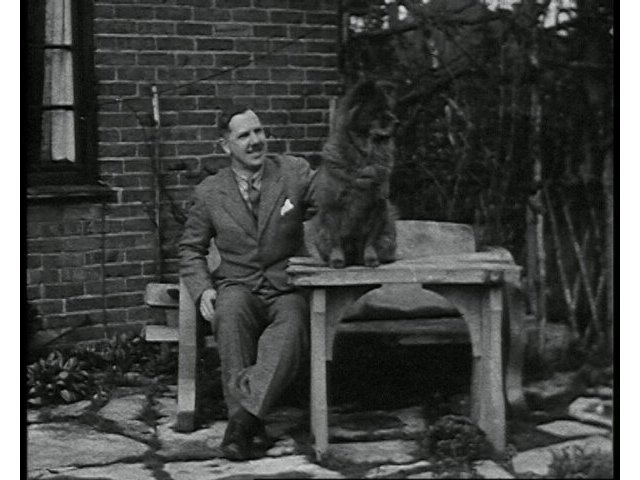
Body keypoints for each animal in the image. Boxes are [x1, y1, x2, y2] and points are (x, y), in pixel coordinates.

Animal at [311, 79, 399, 268]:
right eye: (378, 112)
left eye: (389, 109)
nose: (396, 120)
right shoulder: (333, 204)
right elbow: (335, 239)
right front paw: (337, 260)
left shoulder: (378, 205)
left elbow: (370, 240)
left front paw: (371, 259)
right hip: (320, 232)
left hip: (389, 229)